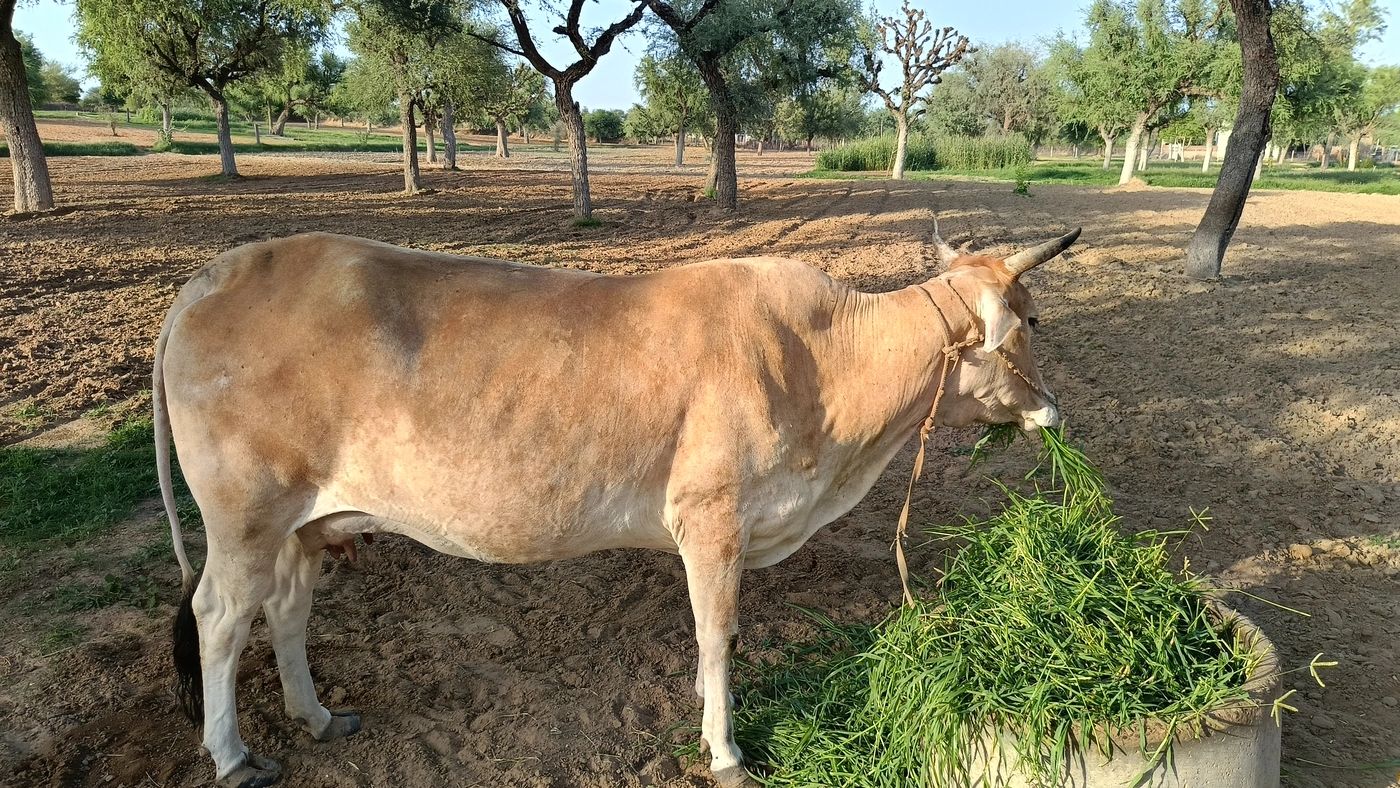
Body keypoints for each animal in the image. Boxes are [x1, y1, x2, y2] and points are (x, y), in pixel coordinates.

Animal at [156, 227, 1078, 787]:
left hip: (306, 525)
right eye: (1031, 319)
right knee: (218, 617)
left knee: (286, 611)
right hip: (245, 518)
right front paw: (725, 749)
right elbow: (718, 636)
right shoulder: (712, 518)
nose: (1053, 412)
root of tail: (209, 278)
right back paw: (232, 754)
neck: (826, 363)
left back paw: (316, 717)